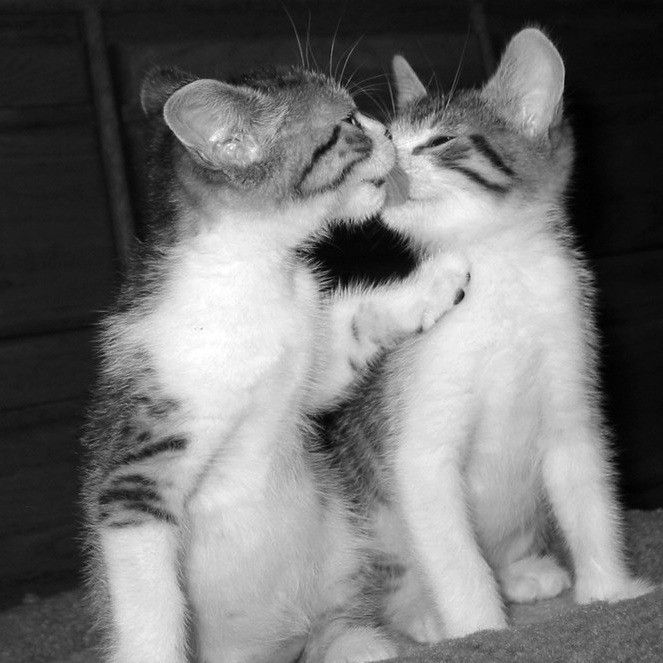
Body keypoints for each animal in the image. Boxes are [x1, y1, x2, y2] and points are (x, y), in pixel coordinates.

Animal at [81, 63, 466, 663]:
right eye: (348, 122)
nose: (385, 129)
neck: (253, 278)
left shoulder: (308, 371)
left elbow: (353, 330)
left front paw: (436, 281)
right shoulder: (135, 477)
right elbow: (148, 601)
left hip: (338, 548)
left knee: (336, 625)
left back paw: (368, 641)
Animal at [326, 27, 652, 644]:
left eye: (439, 141)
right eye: (388, 138)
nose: (388, 162)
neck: (504, 283)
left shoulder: (570, 397)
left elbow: (589, 496)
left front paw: (610, 591)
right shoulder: (420, 439)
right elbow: (454, 554)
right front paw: (480, 628)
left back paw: (522, 572)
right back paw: (419, 614)